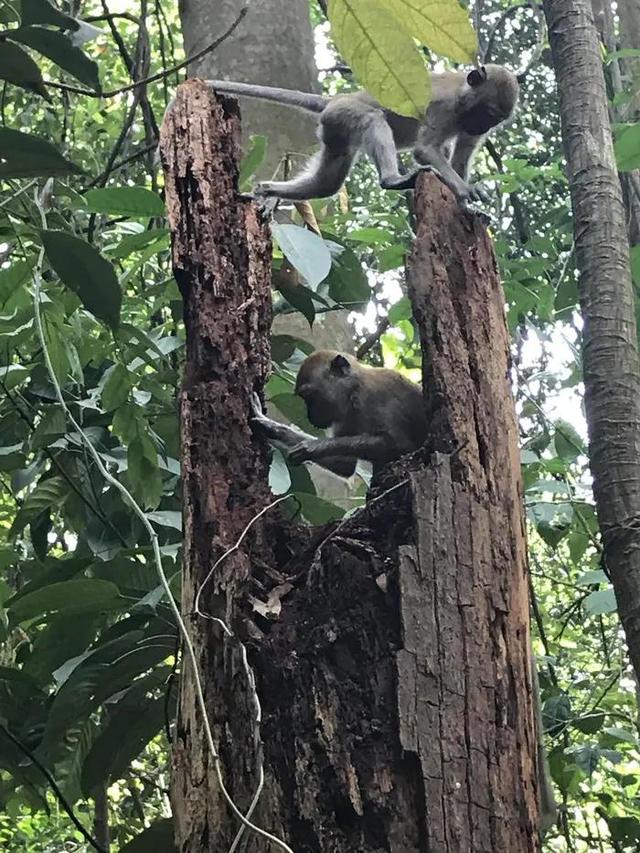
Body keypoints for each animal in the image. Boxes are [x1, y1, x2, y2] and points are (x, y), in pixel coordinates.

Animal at [210, 65, 520, 205]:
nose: (482, 127)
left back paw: (268, 190)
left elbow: (457, 159)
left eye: (495, 120)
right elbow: (425, 151)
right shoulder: (444, 108)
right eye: (488, 113)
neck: (463, 96)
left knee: (326, 184)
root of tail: (335, 99)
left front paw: (468, 196)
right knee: (373, 121)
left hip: (335, 128)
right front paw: (465, 190)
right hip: (346, 113)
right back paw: (393, 179)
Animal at [249, 348, 424, 480]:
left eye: (309, 396)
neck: (355, 390)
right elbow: (344, 464)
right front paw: (273, 429)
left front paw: (311, 447)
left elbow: (399, 444)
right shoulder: (347, 416)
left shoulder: (376, 396)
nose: (310, 416)